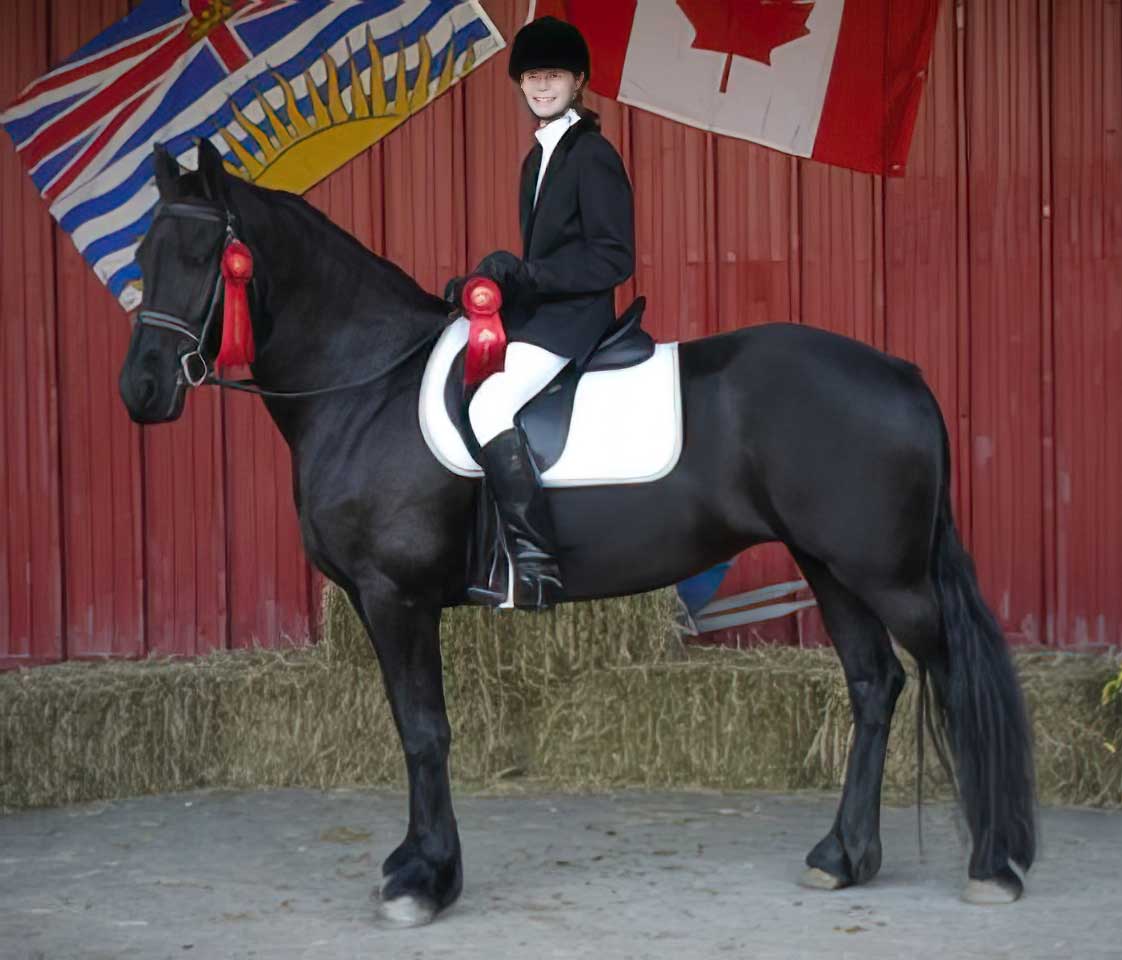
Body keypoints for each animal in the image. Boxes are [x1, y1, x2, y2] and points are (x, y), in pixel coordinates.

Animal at [118, 140, 1036, 924]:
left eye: (202, 258)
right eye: (142, 259)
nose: (140, 390)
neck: (366, 385)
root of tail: (902, 373)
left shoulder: (395, 597)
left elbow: (423, 731)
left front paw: (424, 881)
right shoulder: (387, 605)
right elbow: (416, 729)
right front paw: (422, 866)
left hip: (887, 575)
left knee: (956, 678)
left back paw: (993, 865)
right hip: (831, 567)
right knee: (875, 684)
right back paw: (843, 857)